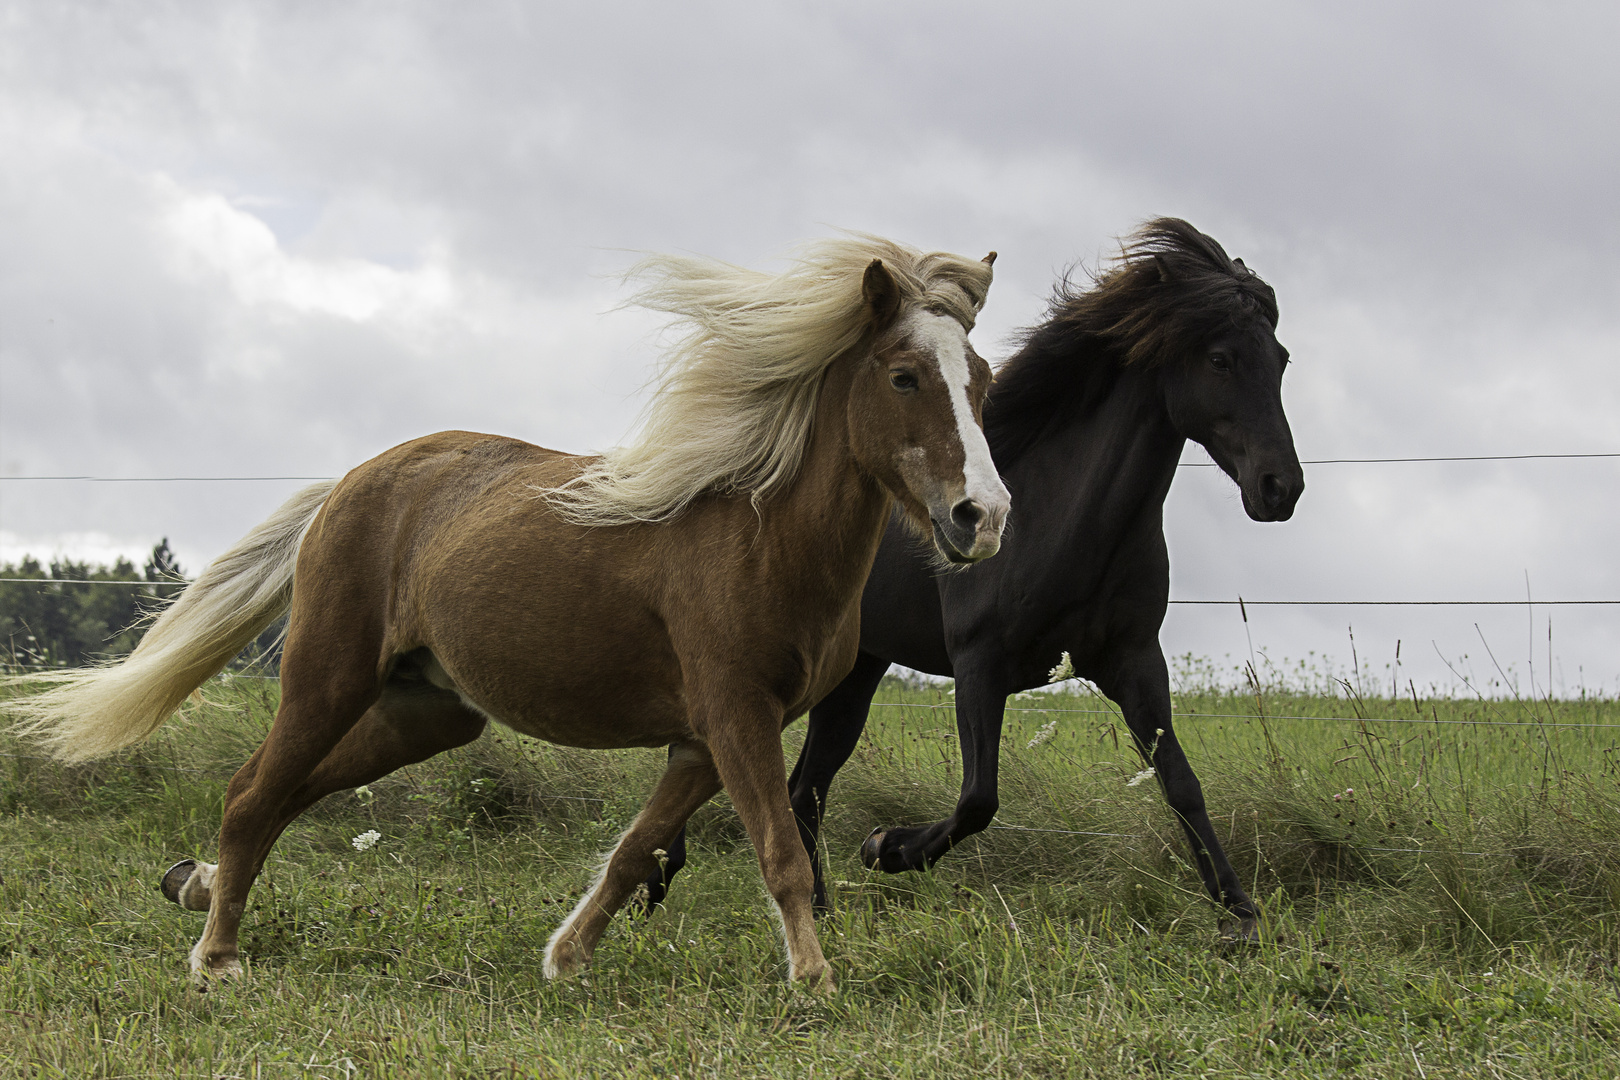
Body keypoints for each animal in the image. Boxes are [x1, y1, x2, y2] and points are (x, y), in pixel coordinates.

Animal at [12, 236, 1004, 990]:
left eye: (984, 380)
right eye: (905, 376)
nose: (982, 517)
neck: (761, 536)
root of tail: (347, 486)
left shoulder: (700, 741)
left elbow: (634, 852)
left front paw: (565, 959)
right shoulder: (737, 715)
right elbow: (782, 853)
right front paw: (813, 981)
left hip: (425, 711)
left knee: (285, 793)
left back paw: (196, 888)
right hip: (327, 678)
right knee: (255, 792)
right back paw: (216, 957)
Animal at [644, 220, 1302, 939]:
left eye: (1281, 359)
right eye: (1220, 359)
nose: (1281, 487)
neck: (1059, 518)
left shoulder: (1132, 661)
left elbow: (1180, 782)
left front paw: (1240, 913)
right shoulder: (980, 662)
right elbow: (978, 798)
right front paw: (888, 848)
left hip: (855, 671)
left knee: (804, 786)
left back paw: (814, 909)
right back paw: (657, 874)